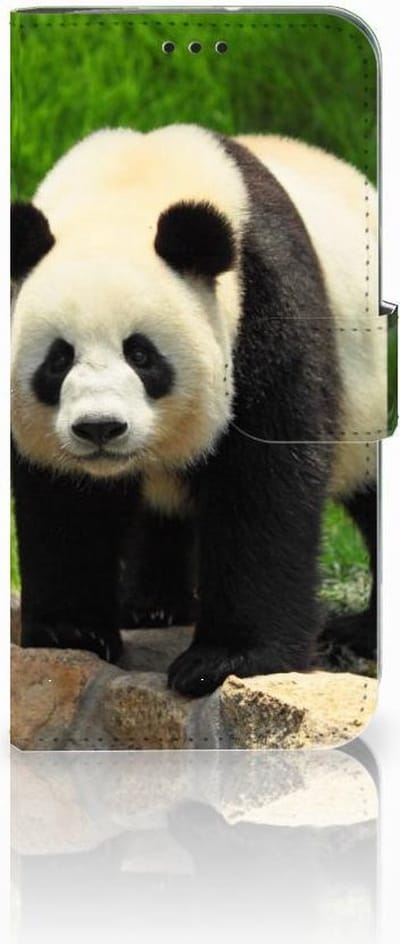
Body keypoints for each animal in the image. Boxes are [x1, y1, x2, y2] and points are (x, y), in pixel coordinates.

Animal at [11, 124, 384, 696]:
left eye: (141, 354)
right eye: (58, 359)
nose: (100, 428)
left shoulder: (264, 305)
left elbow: (265, 483)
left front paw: (227, 660)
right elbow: (64, 499)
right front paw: (70, 632)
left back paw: (359, 633)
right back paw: (151, 606)